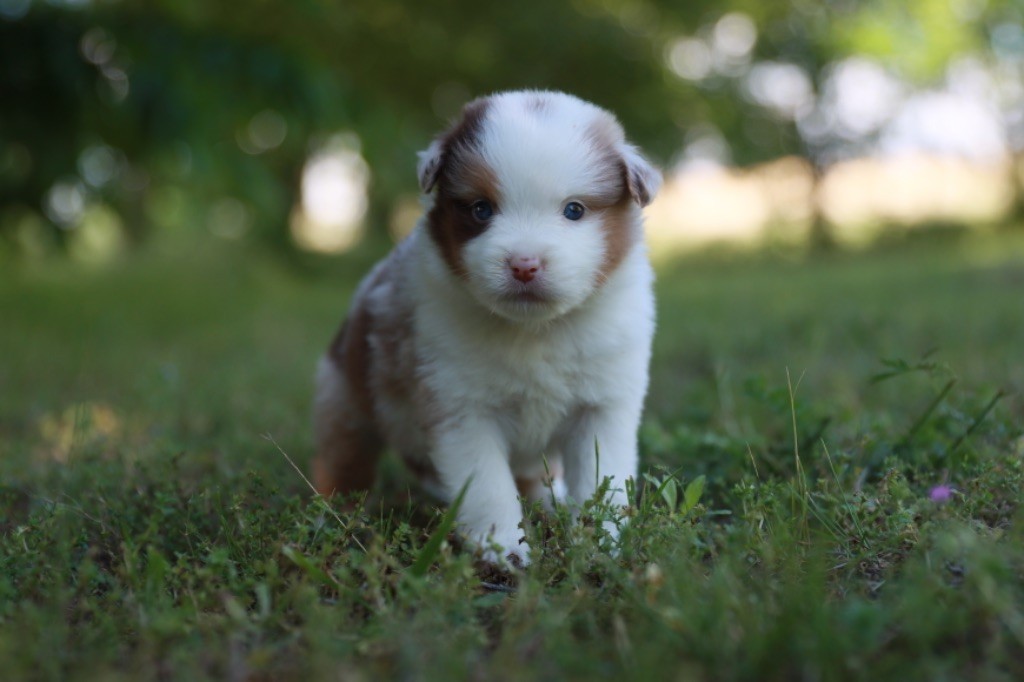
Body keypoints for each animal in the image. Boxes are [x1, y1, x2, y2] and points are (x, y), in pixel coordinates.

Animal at [313, 89, 663, 561]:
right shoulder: (462, 409)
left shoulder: (603, 406)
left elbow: (600, 478)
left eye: (574, 211)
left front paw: (600, 543)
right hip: (345, 403)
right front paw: (504, 550)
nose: (524, 265)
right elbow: (488, 487)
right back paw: (334, 520)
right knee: (341, 465)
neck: (537, 330)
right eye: (482, 209)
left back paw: (550, 503)